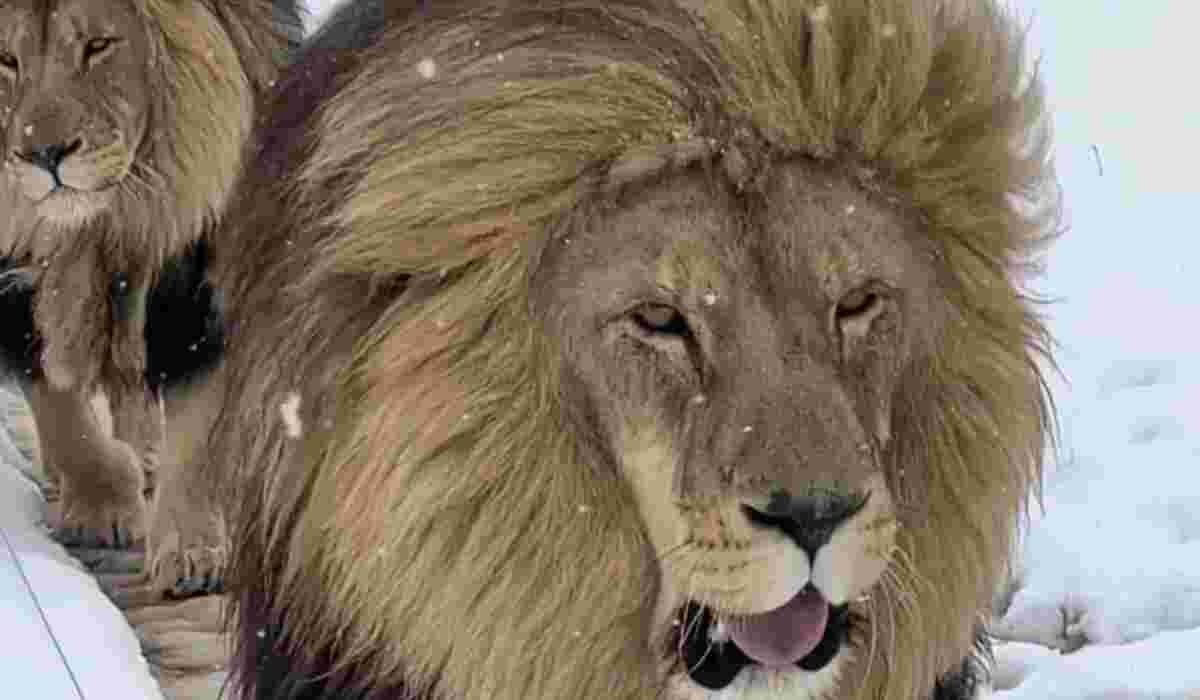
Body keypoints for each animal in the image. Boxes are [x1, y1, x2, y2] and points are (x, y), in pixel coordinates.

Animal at [0, 0, 299, 596]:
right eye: (6, 59)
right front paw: (102, 504)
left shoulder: (198, 254)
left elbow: (197, 417)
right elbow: (55, 400)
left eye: (98, 45)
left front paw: (192, 552)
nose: (44, 154)